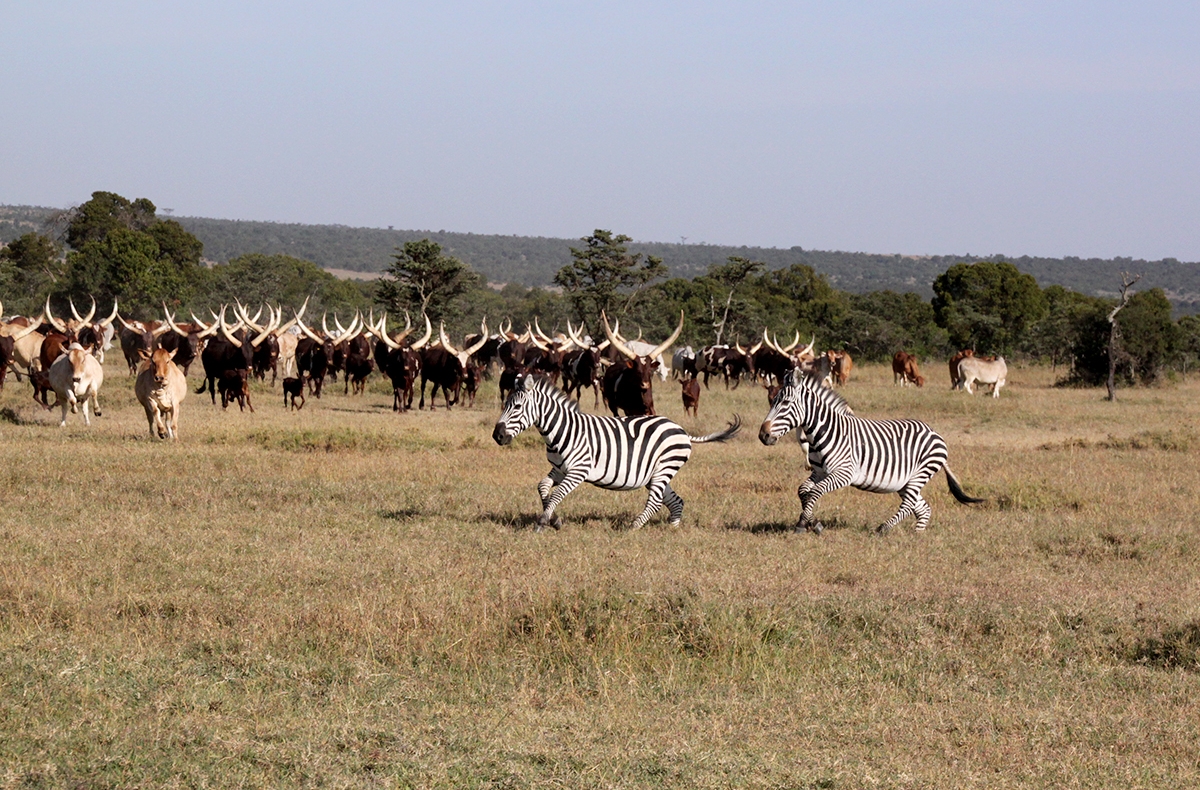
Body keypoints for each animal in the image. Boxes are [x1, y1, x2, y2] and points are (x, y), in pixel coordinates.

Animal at [489, 374, 739, 528]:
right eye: (505, 405)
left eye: (517, 407)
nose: (497, 436)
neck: (562, 430)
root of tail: (683, 431)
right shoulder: (559, 469)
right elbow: (543, 487)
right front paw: (554, 519)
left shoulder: (579, 470)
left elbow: (557, 495)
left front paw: (543, 522)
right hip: (656, 473)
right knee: (675, 501)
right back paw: (673, 529)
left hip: (664, 468)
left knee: (655, 501)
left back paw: (633, 528)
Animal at [758, 367, 984, 528]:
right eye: (772, 401)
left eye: (786, 403)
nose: (763, 435)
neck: (824, 432)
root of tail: (934, 432)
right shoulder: (818, 472)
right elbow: (803, 490)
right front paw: (813, 522)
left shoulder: (844, 473)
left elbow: (815, 492)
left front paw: (803, 524)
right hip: (905, 481)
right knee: (922, 508)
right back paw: (916, 536)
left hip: (920, 474)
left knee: (909, 504)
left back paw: (884, 528)